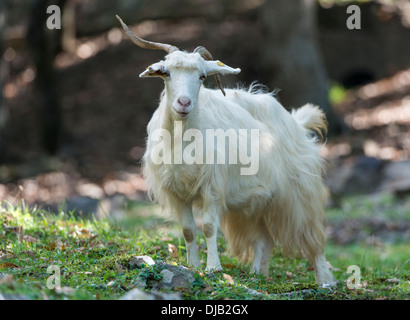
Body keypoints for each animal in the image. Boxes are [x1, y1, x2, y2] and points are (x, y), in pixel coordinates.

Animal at [116, 16, 336, 284]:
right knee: (264, 239)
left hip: (299, 195)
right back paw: (257, 275)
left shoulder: (211, 186)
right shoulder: (177, 192)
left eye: (202, 76)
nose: (184, 103)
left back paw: (325, 281)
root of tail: (295, 122)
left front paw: (213, 268)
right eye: (166, 73)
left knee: (314, 239)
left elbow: (209, 227)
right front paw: (192, 265)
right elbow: (188, 230)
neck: (181, 140)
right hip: (259, 201)